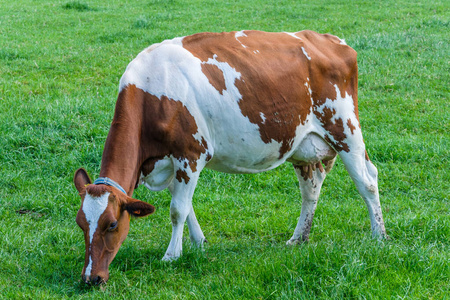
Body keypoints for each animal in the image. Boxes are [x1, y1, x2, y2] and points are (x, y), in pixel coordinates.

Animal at [73, 29, 386, 284]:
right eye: (80, 224)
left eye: (112, 224)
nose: (91, 278)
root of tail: (330, 40)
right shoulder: (171, 162)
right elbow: (187, 206)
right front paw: (198, 242)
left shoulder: (190, 154)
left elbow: (177, 209)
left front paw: (172, 255)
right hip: (302, 145)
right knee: (311, 188)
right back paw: (299, 238)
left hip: (345, 129)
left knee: (368, 181)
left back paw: (379, 236)